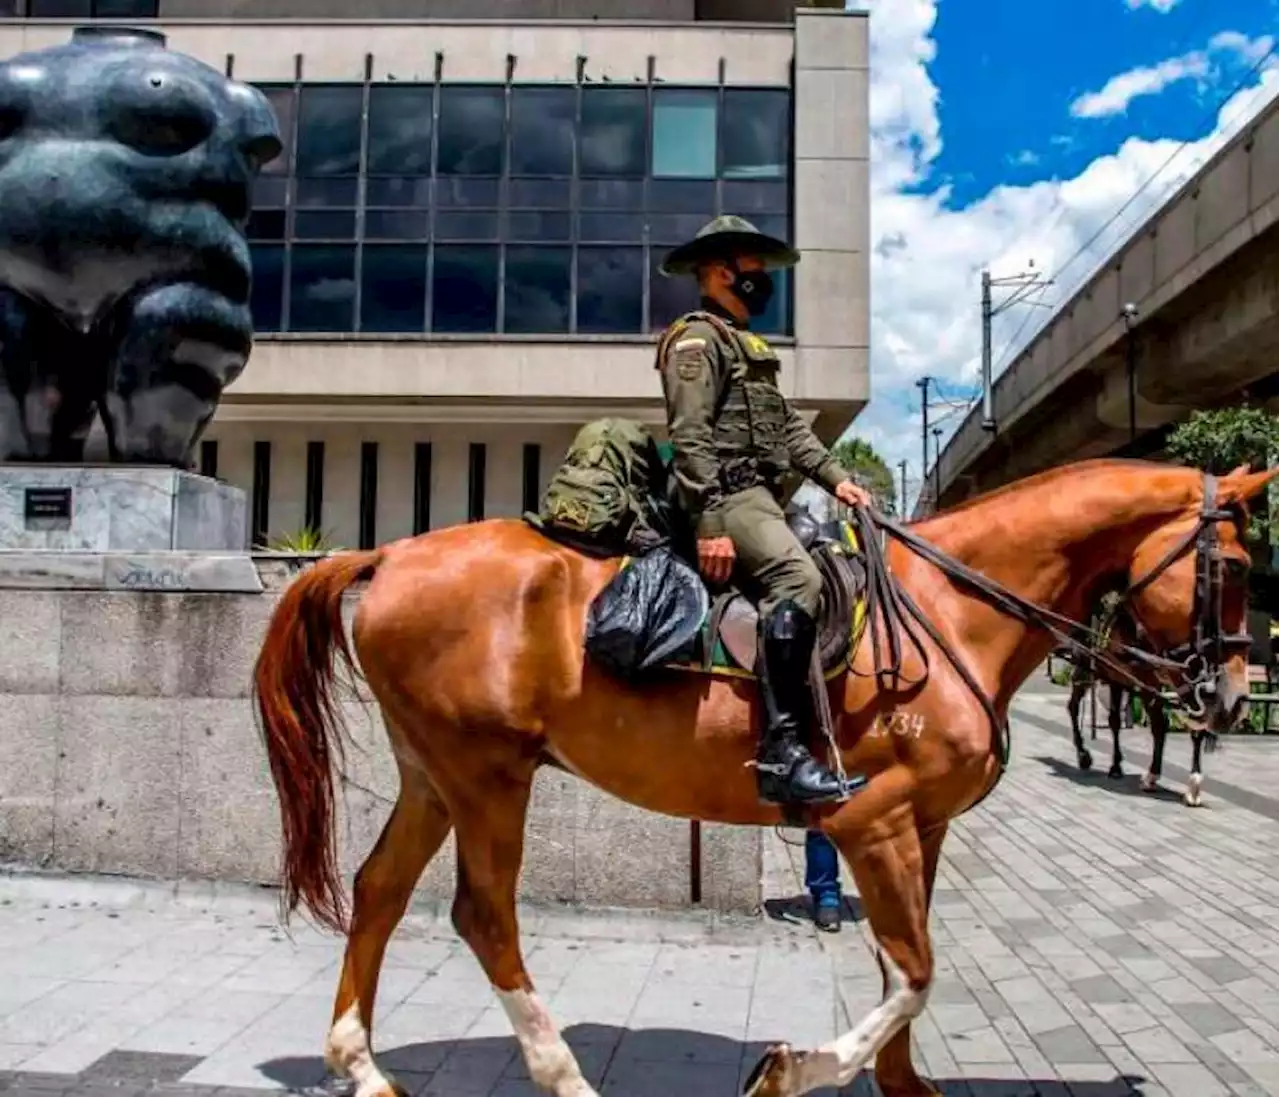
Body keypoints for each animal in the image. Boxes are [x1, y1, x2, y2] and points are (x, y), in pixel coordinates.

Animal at [252, 460, 1269, 1095]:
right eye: (1237, 566)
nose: (1228, 697)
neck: (949, 609)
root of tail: (390, 553)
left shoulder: (924, 826)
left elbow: (905, 960)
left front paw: (903, 1082)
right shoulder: (869, 821)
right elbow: (915, 971)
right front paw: (792, 1067)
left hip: (432, 772)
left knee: (379, 890)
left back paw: (364, 1066)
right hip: (486, 772)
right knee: (482, 914)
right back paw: (562, 1074)